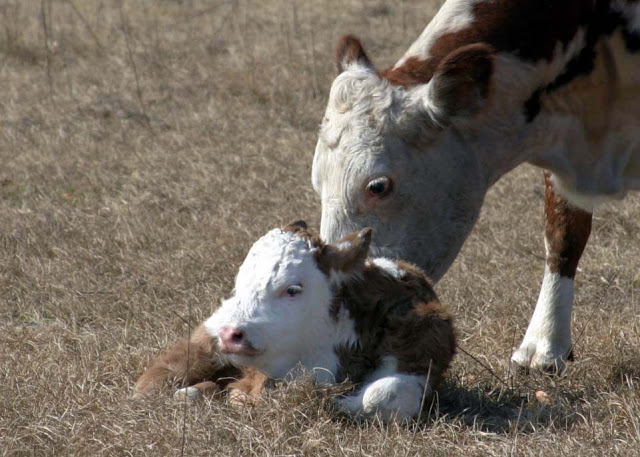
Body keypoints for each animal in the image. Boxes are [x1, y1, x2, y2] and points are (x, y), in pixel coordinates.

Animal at [135, 222, 456, 421]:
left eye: (292, 289)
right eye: (240, 283)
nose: (230, 334)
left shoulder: (421, 350)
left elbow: (380, 393)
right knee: (156, 380)